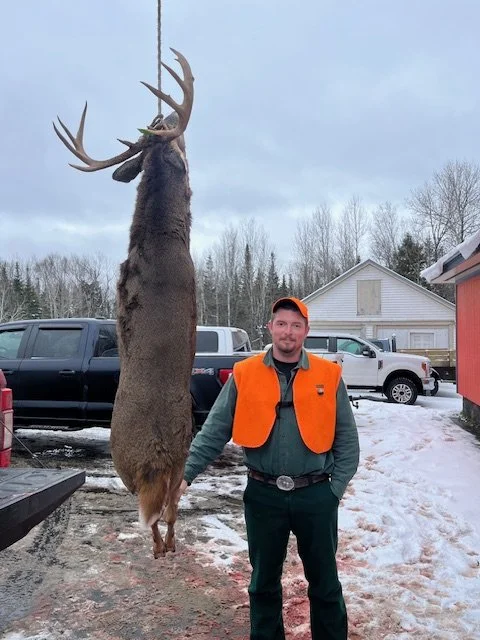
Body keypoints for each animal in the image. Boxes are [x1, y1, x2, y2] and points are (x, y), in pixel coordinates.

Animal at [54, 49, 196, 558]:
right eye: (171, 127)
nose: (166, 118)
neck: (162, 235)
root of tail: (153, 457)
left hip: (150, 466)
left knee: (161, 514)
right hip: (167, 460)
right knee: (164, 515)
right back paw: (163, 549)